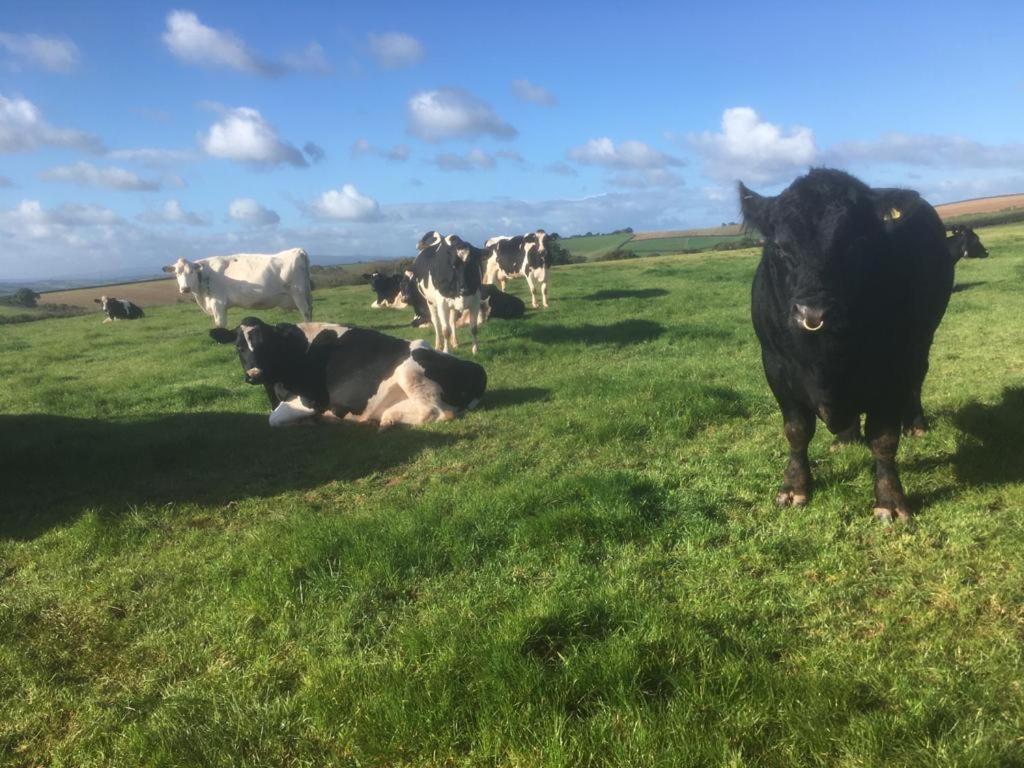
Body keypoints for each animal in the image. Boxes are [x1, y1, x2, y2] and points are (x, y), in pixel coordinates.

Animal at [162, 248, 312, 328]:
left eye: (191, 272)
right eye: (177, 273)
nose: (185, 288)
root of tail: (297, 250)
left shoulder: (218, 303)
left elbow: (220, 323)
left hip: (298, 293)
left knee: (306, 313)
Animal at [210, 316, 486, 429]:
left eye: (268, 344)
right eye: (238, 346)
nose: (254, 374)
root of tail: (477, 369)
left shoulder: (310, 400)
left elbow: (274, 419)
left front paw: (310, 421)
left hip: (409, 371)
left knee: (438, 412)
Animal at [741, 168, 953, 523]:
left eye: (856, 243)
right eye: (780, 248)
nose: (812, 314)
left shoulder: (895, 365)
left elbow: (884, 438)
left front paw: (890, 501)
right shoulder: (775, 365)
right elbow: (797, 430)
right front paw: (794, 488)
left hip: (924, 338)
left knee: (918, 379)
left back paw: (916, 424)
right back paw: (846, 437)